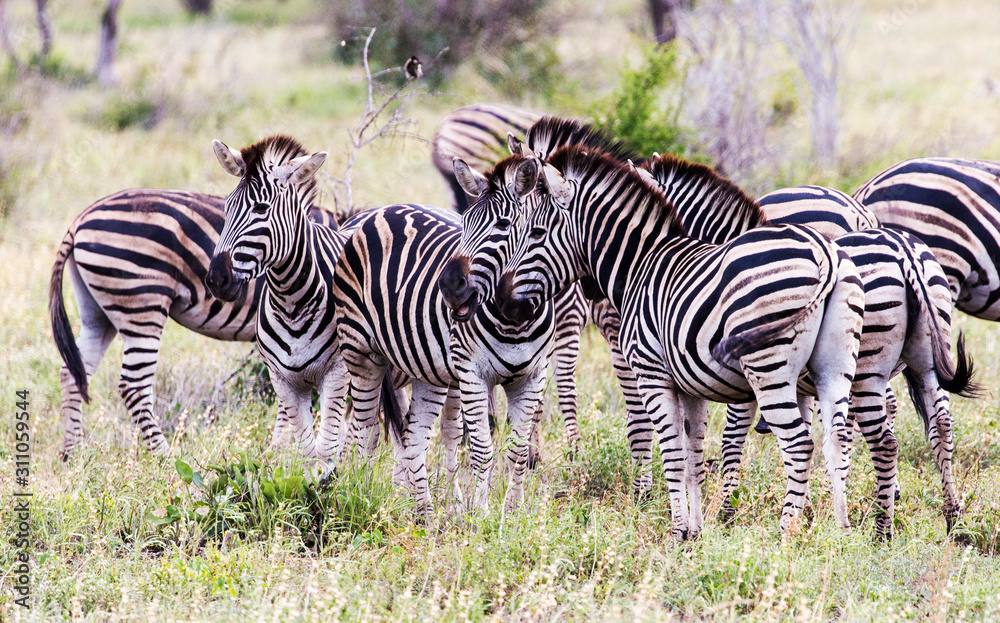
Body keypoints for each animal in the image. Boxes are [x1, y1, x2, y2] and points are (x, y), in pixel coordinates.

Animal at [49, 187, 339, 458]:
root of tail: (79, 220)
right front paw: (288, 449)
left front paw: (279, 448)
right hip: (141, 303)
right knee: (134, 385)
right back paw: (164, 457)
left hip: (97, 314)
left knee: (73, 373)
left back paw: (72, 453)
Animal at [333, 202, 554, 515]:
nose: (450, 287)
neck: (513, 325)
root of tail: (383, 209)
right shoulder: (473, 374)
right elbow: (482, 447)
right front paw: (480, 512)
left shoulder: (533, 375)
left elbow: (515, 448)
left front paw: (511, 511)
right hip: (362, 351)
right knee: (362, 430)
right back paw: (355, 495)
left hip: (429, 371)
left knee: (413, 436)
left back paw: (423, 512)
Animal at [493, 143, 865, 539]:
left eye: (535, 232)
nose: (502, 302)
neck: (639, 266)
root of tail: (824, 253)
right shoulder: (691, 386)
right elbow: (693, 457)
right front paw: (697, 531)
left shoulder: (652, 375)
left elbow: (674, 453)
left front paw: (679, 530)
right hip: (834, 367)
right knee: (838, 440)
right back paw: (841, 530)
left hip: (770, 369)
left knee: (798, 444)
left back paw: (786, 532)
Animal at [635, 154, 978, 537]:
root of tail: (904, 252)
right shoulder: (798, 381)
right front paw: (809, 508)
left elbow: (734, 438)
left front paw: (729, 511)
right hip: (925, 357)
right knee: (941, 424)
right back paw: (953, 519)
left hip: (870, 365)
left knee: (886, 435)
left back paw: (884, 525)